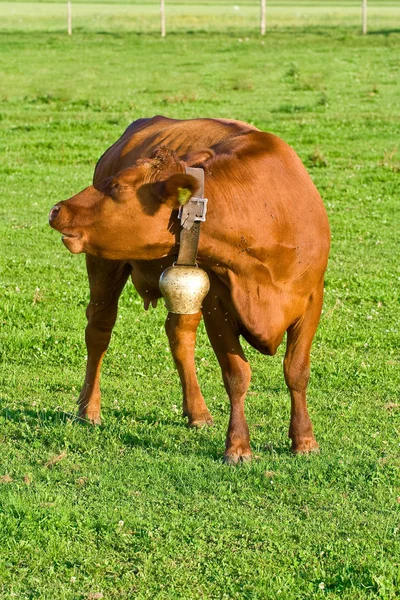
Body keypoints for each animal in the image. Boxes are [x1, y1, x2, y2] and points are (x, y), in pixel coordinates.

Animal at [48, 117, 330, 464]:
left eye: (119, 187)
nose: (57, 209)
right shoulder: (217, 305)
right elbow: (236, 375)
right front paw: (238, 446)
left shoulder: (312, 299)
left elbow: (297, 371)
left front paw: (304, 440)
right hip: (104, 264)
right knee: (99, 331)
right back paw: (88, 408)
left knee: (179, 334)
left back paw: (197, 412)